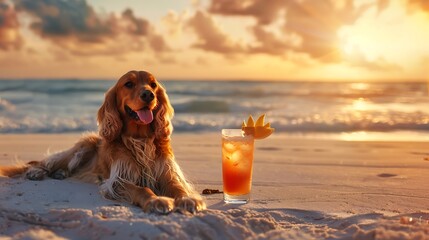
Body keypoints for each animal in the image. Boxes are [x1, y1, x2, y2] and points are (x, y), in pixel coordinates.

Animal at [0, 70, 206, 214]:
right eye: (129, 84)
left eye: (153, 84)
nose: (149, 95)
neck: (139, 139)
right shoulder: (119, 180)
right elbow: (143, 189)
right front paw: (157, 200)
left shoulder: (167, 172)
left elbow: (178, 187)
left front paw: (188, 200)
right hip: (82, 147)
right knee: (46, 162)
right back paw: (37, 172)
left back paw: (59, 174)